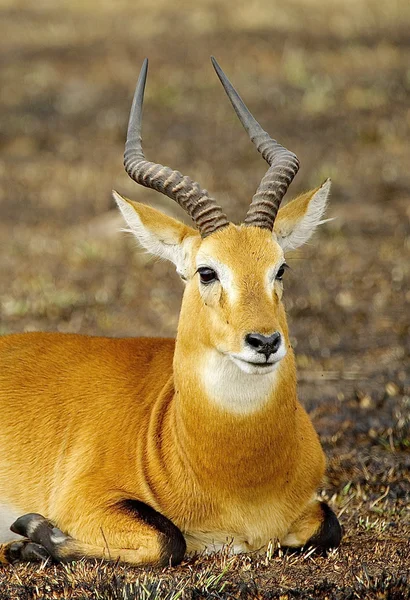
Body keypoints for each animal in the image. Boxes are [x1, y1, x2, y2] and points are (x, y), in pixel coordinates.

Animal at [0, 57, 340, 568]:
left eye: (280, 267)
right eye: (207, 271)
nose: (264, 342)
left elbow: (329, 527)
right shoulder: (88, 502)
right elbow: (168, 539)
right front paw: (29, 535)